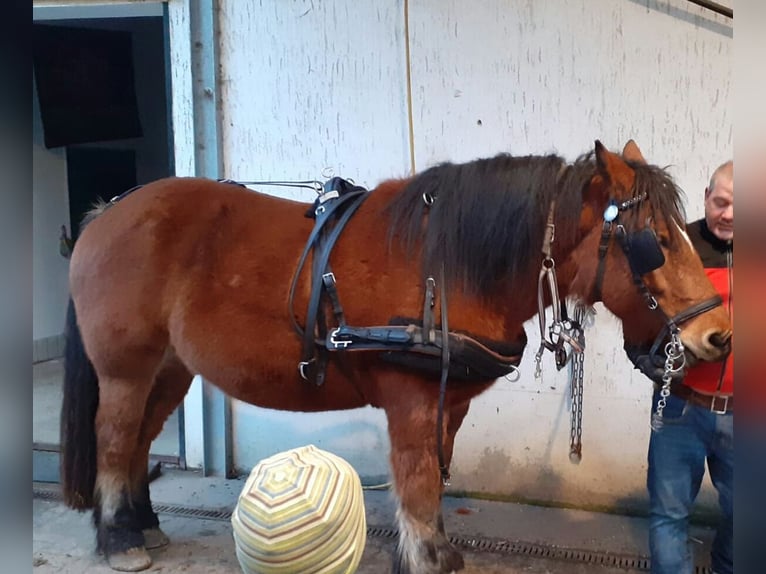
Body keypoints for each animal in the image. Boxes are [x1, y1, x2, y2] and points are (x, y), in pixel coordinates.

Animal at [60, 140, 731, 573]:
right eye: (656, 242)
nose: (718, 336)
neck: (450, 267)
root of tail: (106, 212)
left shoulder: (449, 402)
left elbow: (437, 473)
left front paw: (438, 552)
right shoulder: (411, 399)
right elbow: (417, 480)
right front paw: (426, 558)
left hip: (170, 368)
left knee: (141, 439)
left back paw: (142, 524)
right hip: (125, 367)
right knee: (115, 439)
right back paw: (119, 539)